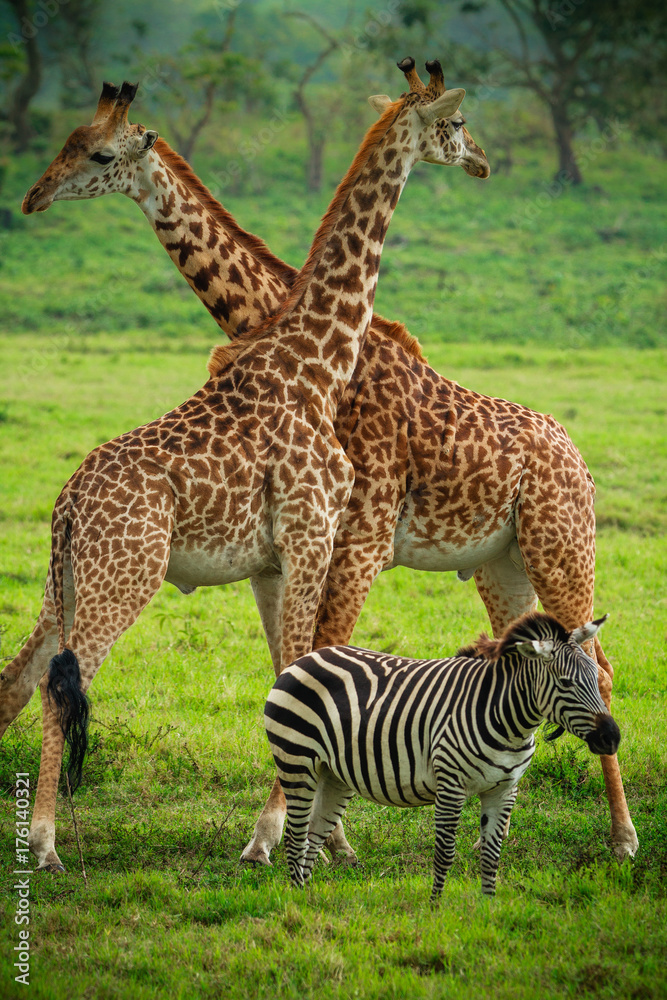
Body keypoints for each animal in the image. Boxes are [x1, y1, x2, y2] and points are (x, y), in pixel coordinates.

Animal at [17, 65, 637, 867]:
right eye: (70, 144)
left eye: (94, 153)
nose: (33, 196)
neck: (304, 351)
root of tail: (575, 456)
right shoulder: (309, 550)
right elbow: (306, 674)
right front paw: (307, 832)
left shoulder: (338, 546)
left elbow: (312, 671)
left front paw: (295, 831)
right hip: (496, 565)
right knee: (52, 680)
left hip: (552, 548)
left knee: (596, 665)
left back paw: (621, 836)